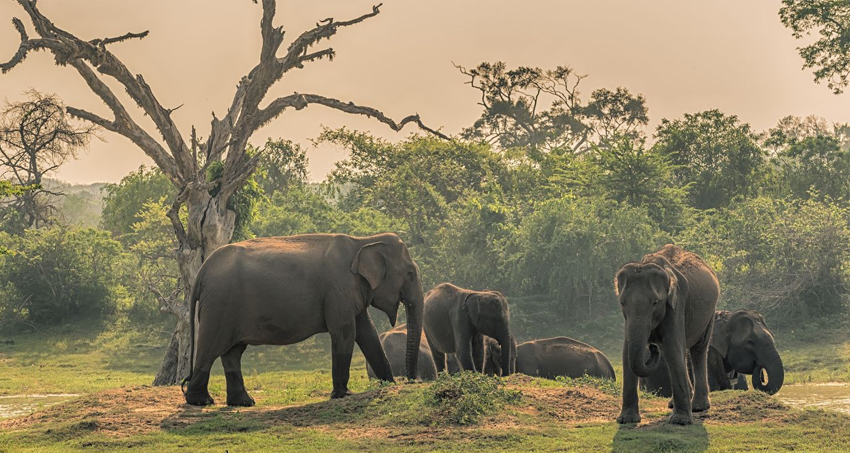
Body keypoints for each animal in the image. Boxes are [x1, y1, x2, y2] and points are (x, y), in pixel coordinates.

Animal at [182, 233, 424, 406]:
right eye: (410, 273)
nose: (413, 380)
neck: (363, 241)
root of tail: (202, 271)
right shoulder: (338, 288)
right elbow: (345, 331)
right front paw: (343, 394)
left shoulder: (351, 291)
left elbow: (367, 332)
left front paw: (389, 384)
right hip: (220, 305)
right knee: (211, 346)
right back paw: (201, 401)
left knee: (233, 352)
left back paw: (243, 403)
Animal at [614, 244, 719, 425]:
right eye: (622, 303)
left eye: (655, 303)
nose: (652, 347)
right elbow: (627, 351)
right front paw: (626, 420)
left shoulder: (677, 303)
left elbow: (672, 348)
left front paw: (680, 421)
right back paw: (674, 404)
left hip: (709, 313)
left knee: (698, 350)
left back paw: (698, 407)